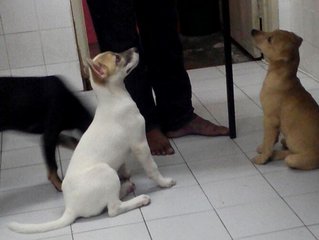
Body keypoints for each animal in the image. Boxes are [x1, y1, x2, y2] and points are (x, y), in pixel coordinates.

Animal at [8, 47, 178, 233]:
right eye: (117, 58)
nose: (135, 48)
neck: (113, 98)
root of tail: (71, 208)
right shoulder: (140, 145)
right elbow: (152, 168)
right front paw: (164, 182)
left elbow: (124, 165)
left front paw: (126, 173)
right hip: (106, 171)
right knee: (113, 209)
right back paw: (139, 199)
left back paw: (126, 187)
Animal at [251, 29, 319, 170]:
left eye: (269, 39)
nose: (252, 31)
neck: (281, 76)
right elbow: (272, 139)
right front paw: (264, 150)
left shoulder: (269, 120)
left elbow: (267, 141)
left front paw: (262, 158)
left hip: (296, 159)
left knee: (289, 156)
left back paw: (275, 154)